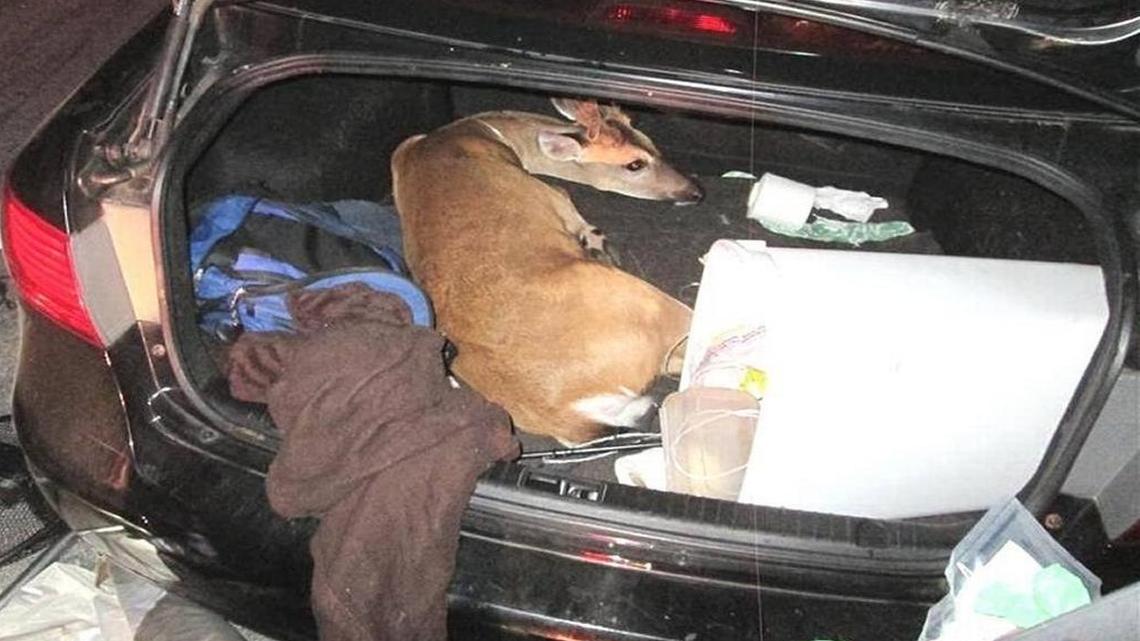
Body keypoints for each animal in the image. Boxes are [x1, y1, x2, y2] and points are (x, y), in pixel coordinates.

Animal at [391, 98, 702, 445]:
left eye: (652, 143)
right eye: (634, 164)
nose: (696, 191)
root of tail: (570, 415)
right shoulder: (553, 195)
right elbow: (568, 200)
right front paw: (596, 240)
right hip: (640, 300)